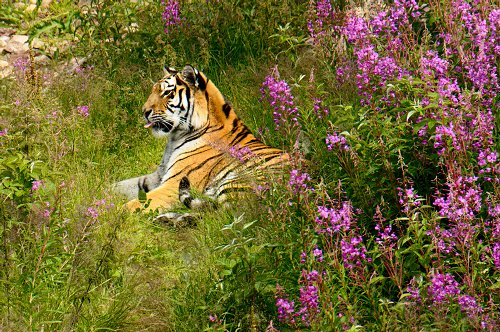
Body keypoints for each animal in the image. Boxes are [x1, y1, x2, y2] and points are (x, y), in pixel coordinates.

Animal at [114, 64, 292, 220]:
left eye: (167, 93)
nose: (144, 112)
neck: (175, 137)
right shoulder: (157, 176)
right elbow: (119, 186)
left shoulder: (172, 185)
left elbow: (134, 204)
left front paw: (112, 214)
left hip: (237, 181)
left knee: (223, 218)